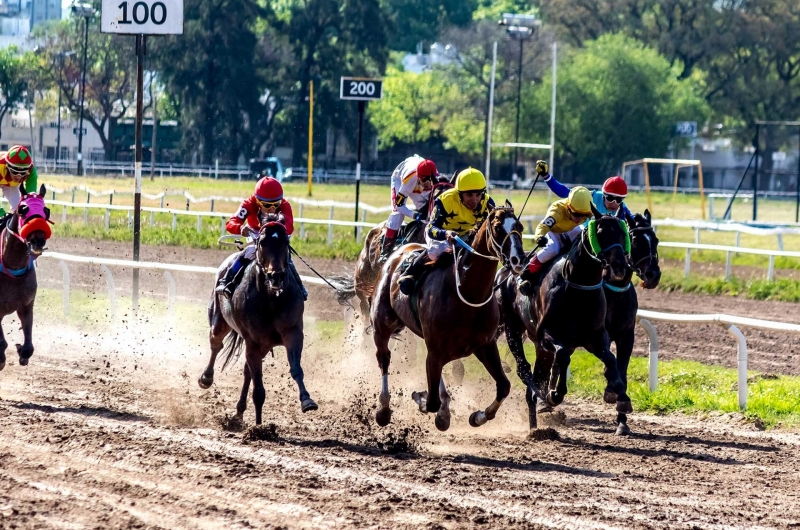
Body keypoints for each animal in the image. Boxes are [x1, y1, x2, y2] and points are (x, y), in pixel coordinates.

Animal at [0, 184, 50, 370]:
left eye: (46, 211)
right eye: (23, 210)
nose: (38, 240)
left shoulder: (26, 305)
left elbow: (29, 347)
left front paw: (22, 351)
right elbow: (1, 343)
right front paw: (1, 358)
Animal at [198, 212, 318, 422]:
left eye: (285, 241)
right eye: (262, 242)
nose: (276, 276)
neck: (271, 299)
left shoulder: (292, 332)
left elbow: (296, 369)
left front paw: (307, 401)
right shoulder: (253, 340)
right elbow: (259, 386)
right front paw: (259, 425)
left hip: (263, 345)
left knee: (247, 371)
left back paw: (239, 410)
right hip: (219, 320)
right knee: (216, 344)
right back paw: (206, 378)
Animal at [368, 201, 524, 428]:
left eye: (520, 227)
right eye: (497, 228)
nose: (518, 259)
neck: (468, 294)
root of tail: (400, 251)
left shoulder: (485, 346)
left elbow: (504, 386)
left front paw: (478, 416)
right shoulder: (436, 351)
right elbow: (431, 402)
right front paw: (422, 399)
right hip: (382, 323)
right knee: (384, 358)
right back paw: (384, 409)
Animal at [496, 204, 636, 432]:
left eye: (623, 233)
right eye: (600, 232)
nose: (619, 266)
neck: (578, 289)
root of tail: (506, 271)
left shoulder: (596, 336)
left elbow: (610, 358)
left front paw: (619, 395)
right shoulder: (547, 334)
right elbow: (562, 356)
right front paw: (555, 394)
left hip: (540, 347)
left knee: (538, 377)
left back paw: (535, 423)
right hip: (512, 328)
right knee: (524, 369)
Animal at [604, 208, 660, 432]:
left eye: (656, 240)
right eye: (635, 241)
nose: (654, 275)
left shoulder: (626, 336)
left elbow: (622, 371)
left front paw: (622, 418)